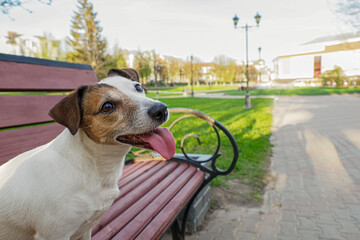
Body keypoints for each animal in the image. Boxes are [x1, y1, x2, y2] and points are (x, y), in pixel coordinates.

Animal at [0, 68, 176, 240]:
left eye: (138, 87)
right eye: (107, 106)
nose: (161, 109)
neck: (93, 166)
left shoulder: (85, 228)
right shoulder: (55, 234)